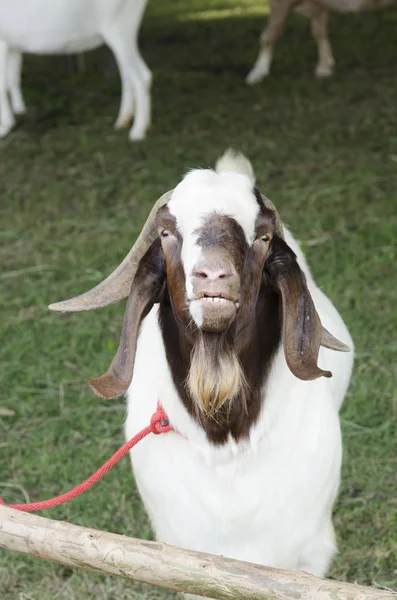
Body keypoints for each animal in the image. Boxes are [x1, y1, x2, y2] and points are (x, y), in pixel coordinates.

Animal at [0, 0, 151, 141]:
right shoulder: (13, 44)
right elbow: (12, 78)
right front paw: (19, 110)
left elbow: (3, 84)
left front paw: (5, 127)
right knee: (127, 75)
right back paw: (122, 121)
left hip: (119, 29)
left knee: (143, 76)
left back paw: (137, 132)